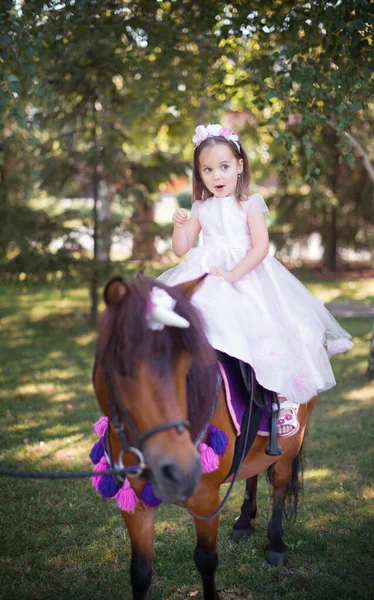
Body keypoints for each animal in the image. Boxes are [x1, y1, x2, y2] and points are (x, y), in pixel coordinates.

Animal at [93, 276, 316, 600]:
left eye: (187, 367)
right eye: (120, 367)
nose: (179, 469)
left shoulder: (206, 500)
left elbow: (206, 560)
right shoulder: (135, 506)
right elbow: (140, 572)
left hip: (291, 444)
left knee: (280, 481)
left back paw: (275, 543)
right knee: (252, 471)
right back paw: (243, 522)